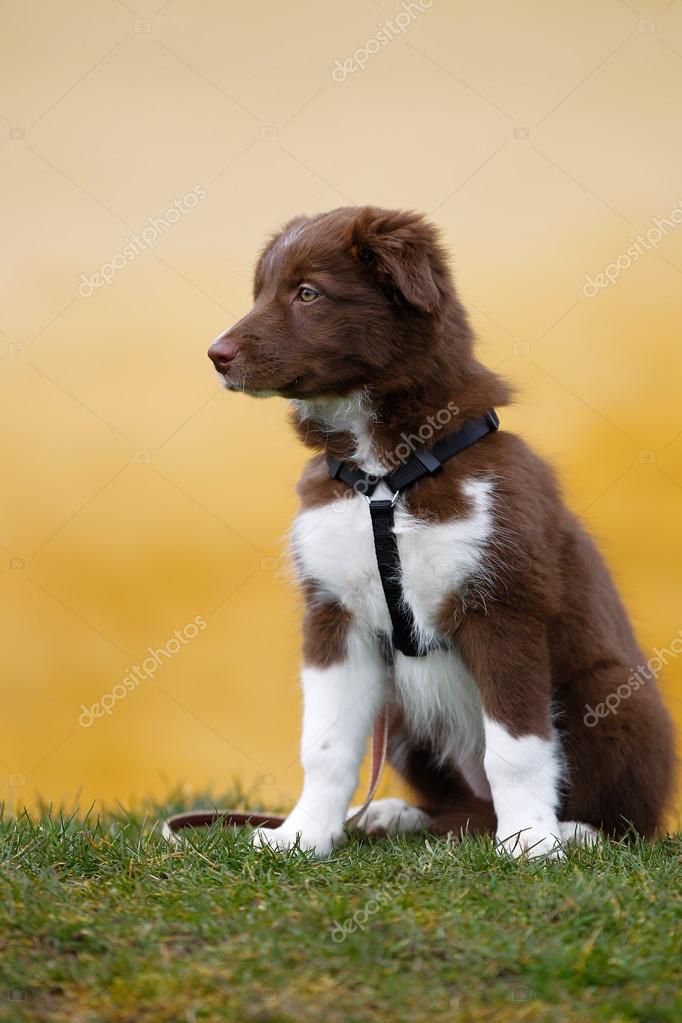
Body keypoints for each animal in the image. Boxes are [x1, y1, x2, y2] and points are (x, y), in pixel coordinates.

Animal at [208, 205, 678, 855]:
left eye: (308, 293)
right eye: (260, 292)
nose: (215, 354)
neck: (384, 473)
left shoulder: (503, 605)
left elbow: (516, 748)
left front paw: (531, 842)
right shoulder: (333, 612)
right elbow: (325, 745)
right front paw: (302, 835)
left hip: (611, 694)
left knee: (629, 820)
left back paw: (574, 831)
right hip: (404, 713)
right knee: (464, 813)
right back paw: (396, 815)